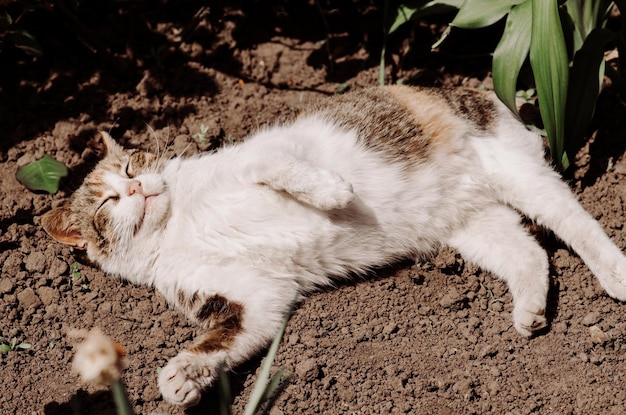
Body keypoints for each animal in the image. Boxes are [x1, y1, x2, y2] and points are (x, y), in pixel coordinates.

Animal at [41, 85, 624, 410]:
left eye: (131, 167)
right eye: (107, 202)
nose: (139, 188)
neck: (179, 222)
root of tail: (474, 89)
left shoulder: (259, 156)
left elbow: (275, 165)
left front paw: (333, 191)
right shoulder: (253, 298)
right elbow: (221, 340)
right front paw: (180, 378)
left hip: (520, 174)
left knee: (577, 224)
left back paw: (616, 274)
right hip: (473, 226)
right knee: (531, 253)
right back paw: (529, 311)